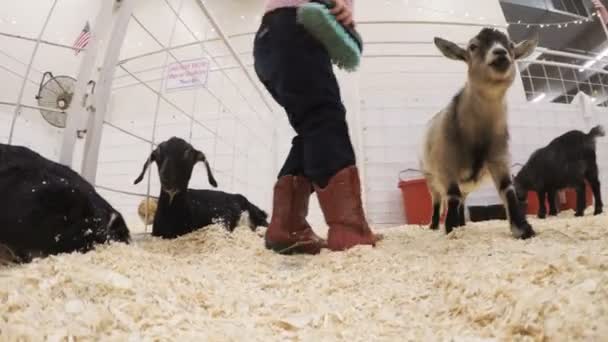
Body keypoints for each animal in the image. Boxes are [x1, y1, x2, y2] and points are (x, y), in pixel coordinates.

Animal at [422, 28, 536, 239]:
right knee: (438, 200)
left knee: (462, 201)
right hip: (431, 178)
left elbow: (508, 190)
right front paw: (450, 229)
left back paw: (462, 223)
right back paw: (434, 225)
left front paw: (523, 229)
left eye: (510, 45)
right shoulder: (446, 165)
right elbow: (452, 196)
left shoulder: (499, 158)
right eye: (473, 47)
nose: (500, 53)